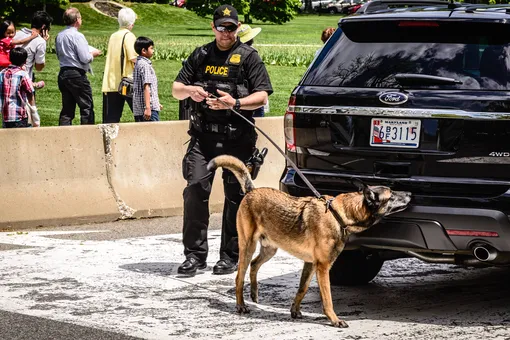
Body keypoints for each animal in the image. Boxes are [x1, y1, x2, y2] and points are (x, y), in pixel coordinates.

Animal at [207, 155, 410, 328]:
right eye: (392, 195)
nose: (409, 193)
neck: (339, 213)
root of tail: (252, 191)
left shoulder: (310, 264)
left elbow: (302, 288)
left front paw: (295, 311)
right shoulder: (322, 267)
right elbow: (327, 297)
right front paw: (334, 319)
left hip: (270, 249)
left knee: (255, 265)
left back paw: (254, 293)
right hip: (248, 246)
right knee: (239, 277)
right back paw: (241, 305)